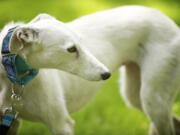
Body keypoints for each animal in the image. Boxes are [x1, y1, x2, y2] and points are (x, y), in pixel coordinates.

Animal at [0, 5, 180, 135]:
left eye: (81, 42)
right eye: (71, 49)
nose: (106, 74)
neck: (11, 77)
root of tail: (167, 20)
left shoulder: (62, 124)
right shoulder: (12, 122)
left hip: (153, 99)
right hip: (137, 96)